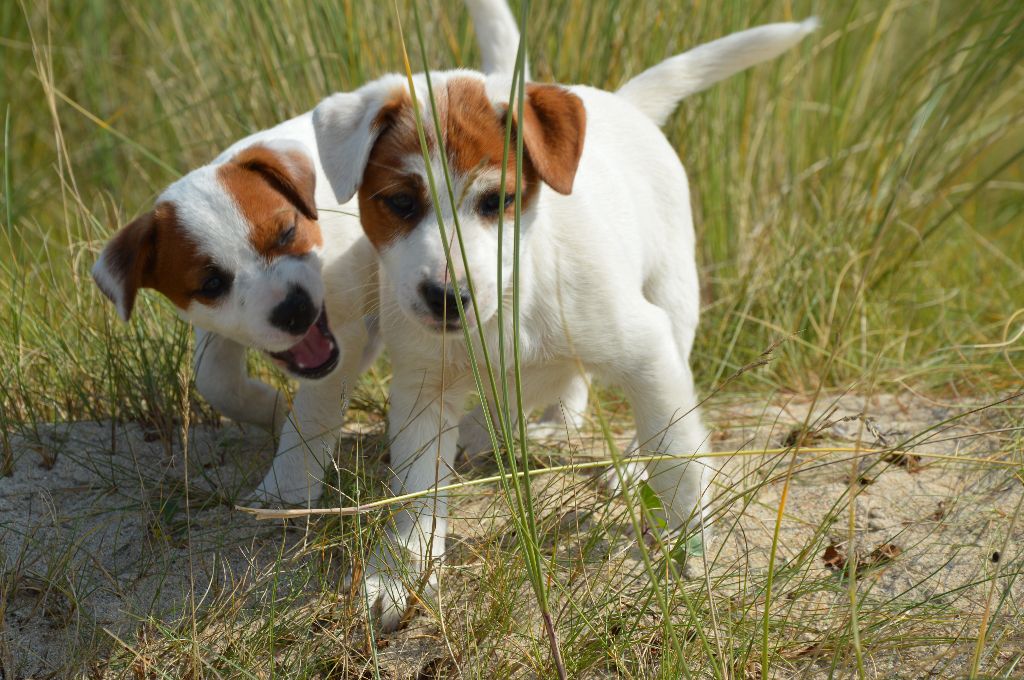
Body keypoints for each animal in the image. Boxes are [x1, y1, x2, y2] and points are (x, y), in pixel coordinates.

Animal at [311, 18, 815, 630]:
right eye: (401, 203)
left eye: (496, 201)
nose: (448, 298)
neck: (511, 299)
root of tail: (623, 103)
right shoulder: (422, 391)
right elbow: (415, 493)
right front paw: (398, 572)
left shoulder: (647, 347)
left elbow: (677, 456)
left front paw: (690, 544)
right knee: (563, 386)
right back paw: (524, 428)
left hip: (672, 299)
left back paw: (626, 467)